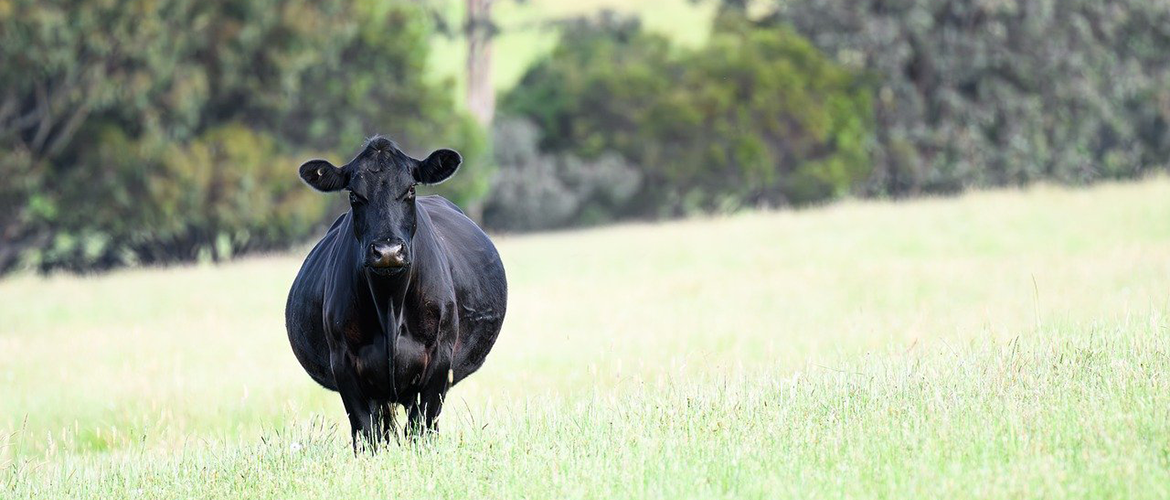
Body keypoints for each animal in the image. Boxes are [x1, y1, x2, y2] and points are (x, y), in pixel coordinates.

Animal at [284, 136, 507, 450]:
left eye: (410, 189)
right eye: (354, 194)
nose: (388, 251)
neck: (390, 302)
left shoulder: (439, 358)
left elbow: (421, 430)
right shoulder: (343, 363)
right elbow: (367, 434)